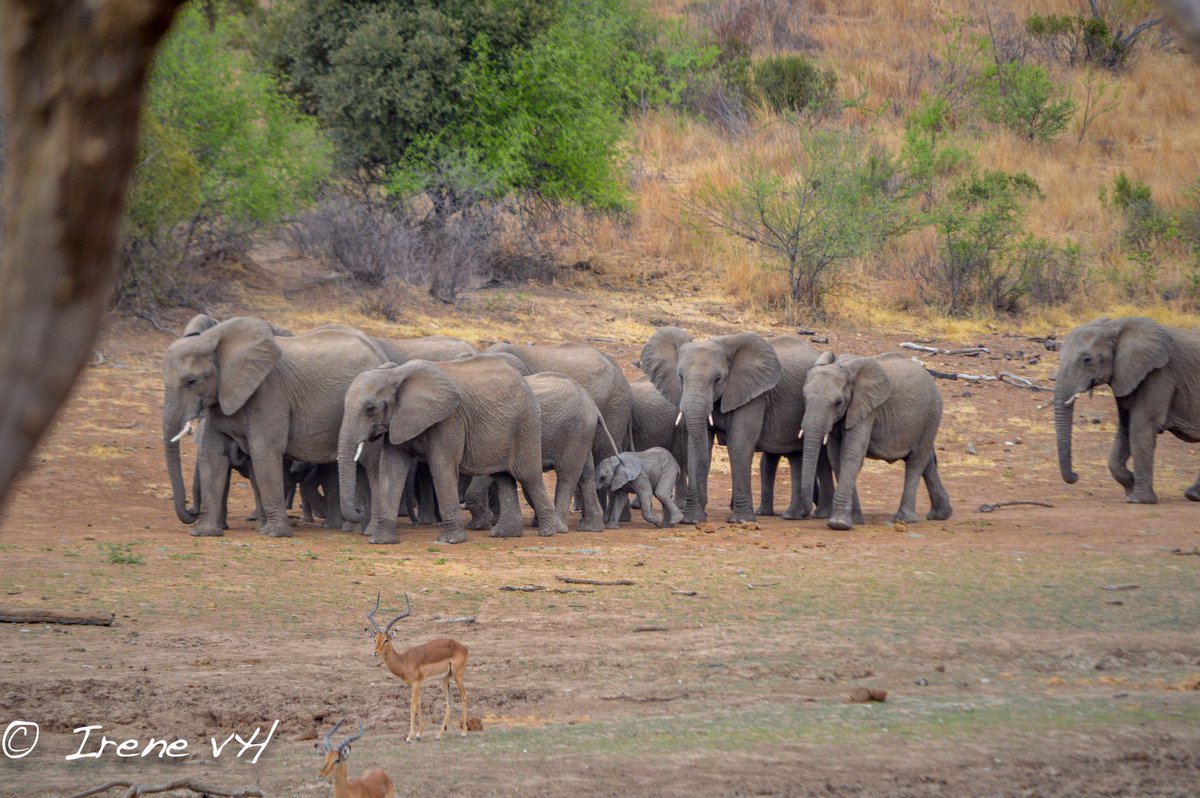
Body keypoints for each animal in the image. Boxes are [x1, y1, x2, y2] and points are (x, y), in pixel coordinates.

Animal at [163, 317, 388, 537]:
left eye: (192, 381)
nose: (191, 511)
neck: (214, 340)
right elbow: (212, 454)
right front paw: (204, 533)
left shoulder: (270, 393)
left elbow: (264, 451)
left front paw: (273, 533)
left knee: (369, 464)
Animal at [338, 356, 560, 545]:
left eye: (370, 408)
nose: (359, 509)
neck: (395, 374)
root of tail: (526, 383)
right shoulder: (399, 421)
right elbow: (391, 469)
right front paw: (381, 541)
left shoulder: (449, 420)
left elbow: (441, 466)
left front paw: (450, 541)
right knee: (504, 477)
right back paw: (504, 534)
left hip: (526, 425)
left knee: (528, 476)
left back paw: (549, 532)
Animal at [640, 327, 834, 523]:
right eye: (680, 377)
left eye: (718, 379)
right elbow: (698, 446)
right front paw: (693, 519)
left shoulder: (754, 394)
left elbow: (739, 444)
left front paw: (740, 520)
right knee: (794, 457)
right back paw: (793, 514)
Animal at [798, 351, 952, 531]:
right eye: (804, 397)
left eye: (838, 402)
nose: (804, 514)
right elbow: (835, 457)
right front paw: (856, 520)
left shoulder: (867, 408)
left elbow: (852, 454)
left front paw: (839, 524)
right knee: (927, 460)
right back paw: (940, 515)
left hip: (932, 414)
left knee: (916, 461)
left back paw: (905, 519)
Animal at [1053, 316, 1200, 503]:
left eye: (1087, 359)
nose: (1076, 475)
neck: (1115, 326)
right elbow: (1125, 429)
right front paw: (1131, 486)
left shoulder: (1159, 374)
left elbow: (1140, 428)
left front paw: (1139, 500)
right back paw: (1193, 495)